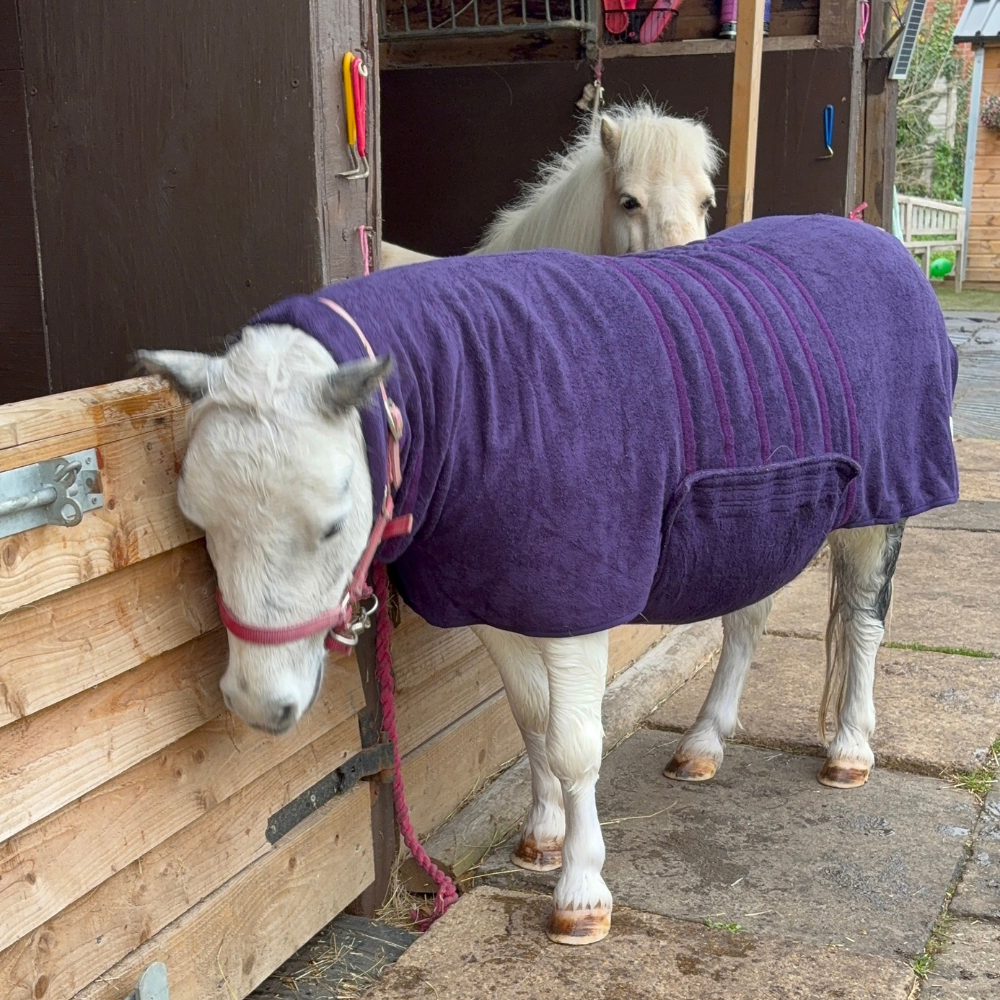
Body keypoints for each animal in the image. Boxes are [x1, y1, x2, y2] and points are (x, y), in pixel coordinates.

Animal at [139, 214, 957, 948]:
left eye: (335, 523)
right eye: (199, 521)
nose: (258, 702)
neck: (478, 399)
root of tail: (877, 237)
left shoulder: (575, 604)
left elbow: (573, 745)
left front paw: (582, 895)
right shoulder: (498, 596)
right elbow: (531, 719)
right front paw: (542, 837)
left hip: (880, 504)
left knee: (863, 622)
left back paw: (849, 750)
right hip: (763, 519)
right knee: (747, 622)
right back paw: (702, 745)